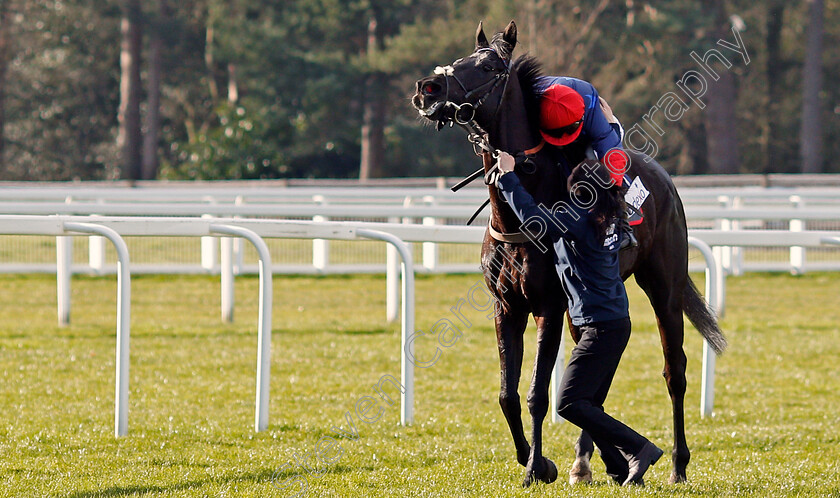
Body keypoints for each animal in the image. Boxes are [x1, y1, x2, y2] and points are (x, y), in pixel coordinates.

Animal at [410, 22, 724, 486]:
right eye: (460, 59)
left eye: (489, 67)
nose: (426, 89)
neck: (517, 218)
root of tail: (664, 177)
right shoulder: (507, 307)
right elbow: (507, 394)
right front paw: (534, 458)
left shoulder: (549, 307)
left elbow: (538, 395)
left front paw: (535, 467)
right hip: (586, 309)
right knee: (593, 384)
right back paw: (594, 461)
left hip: (663, 286)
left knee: (675, 371)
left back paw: (677, 464)